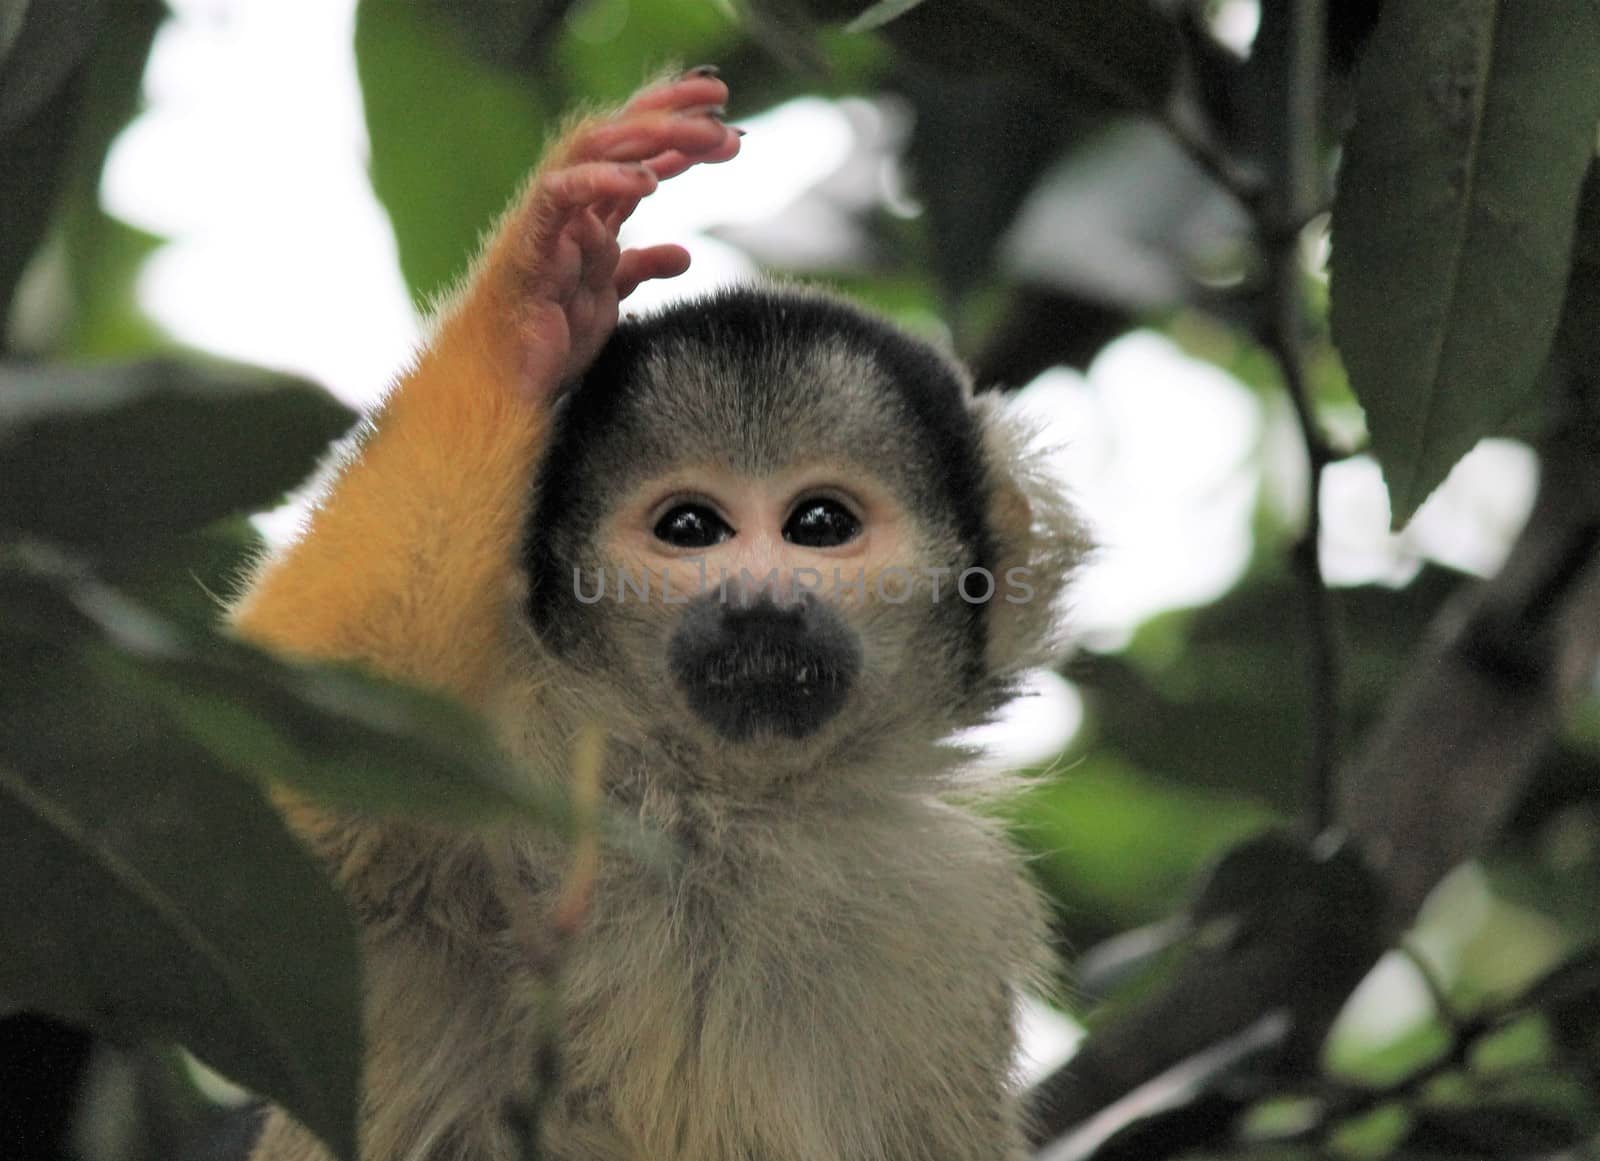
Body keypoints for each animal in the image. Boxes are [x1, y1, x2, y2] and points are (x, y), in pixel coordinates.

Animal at [236, 70, 1088, 1161]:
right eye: (692, 528)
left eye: (819, 524)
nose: (762, 603)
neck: (725, 809)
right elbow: (271, 762)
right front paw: (531, 303)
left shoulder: (954, 909)